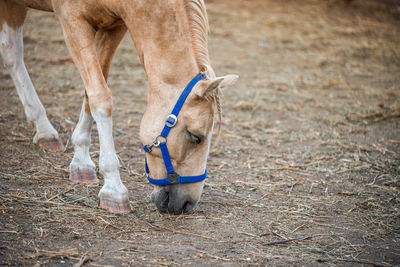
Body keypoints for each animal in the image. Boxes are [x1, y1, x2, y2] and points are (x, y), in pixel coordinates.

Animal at [0, 0, 238, 214]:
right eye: (195, 137)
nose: (188, 203)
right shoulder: (72, 20)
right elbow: (100, 97)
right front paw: (113, 189)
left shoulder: (113, 27)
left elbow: (91, 91)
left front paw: (81, 162)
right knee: (12, 53)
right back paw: (44, 128)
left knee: (10, 50)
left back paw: (44, 131)